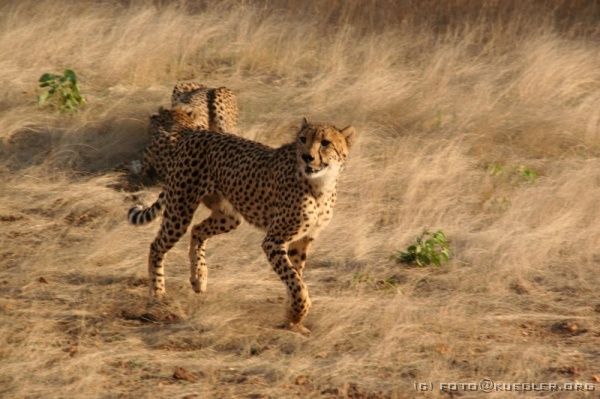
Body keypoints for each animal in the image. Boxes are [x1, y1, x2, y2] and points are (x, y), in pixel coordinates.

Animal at [128, 118, 356, 334]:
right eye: (302, 139)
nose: (307, 156)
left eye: (325, 143)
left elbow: (296, 278)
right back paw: (158, 294)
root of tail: (194, 133)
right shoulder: (273, 240)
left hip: (228, 217)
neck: (320, 184)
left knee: (197, 230)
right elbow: (295, 281)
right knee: (157, 245)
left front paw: (293, 318)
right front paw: (298, 312)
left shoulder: (303, 239)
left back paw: (199, 278)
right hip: (180, 209)